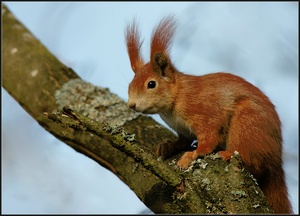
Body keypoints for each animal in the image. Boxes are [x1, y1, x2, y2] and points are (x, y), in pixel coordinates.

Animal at [125, 15, 292, 214]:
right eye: (130, 84)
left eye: (151, 84)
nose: (131, 104)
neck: (177, 98)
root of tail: (276, 159)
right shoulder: (182, 129)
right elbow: (183, 140)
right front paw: (168, 146)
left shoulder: (206, 113)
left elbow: (209, 137)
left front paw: (194, 153)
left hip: (247, 123)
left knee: (253, 161)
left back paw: (228, 154)